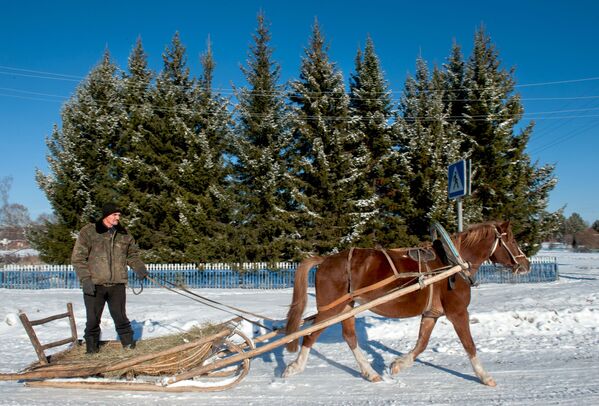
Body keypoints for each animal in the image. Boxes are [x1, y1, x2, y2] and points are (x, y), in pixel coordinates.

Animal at [284, 220, 532, 386]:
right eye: (511, 239)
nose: (526, 264)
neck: (453, 264)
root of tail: (325, 260)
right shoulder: (458, 312)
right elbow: (469, 345)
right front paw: (485, 376)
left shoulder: (431, 313)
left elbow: (421, 343)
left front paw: (398, 365)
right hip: (331, 309)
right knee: (310, 336)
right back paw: (294, 367)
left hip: (346, 308)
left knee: (350, 337)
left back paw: (369, 372)